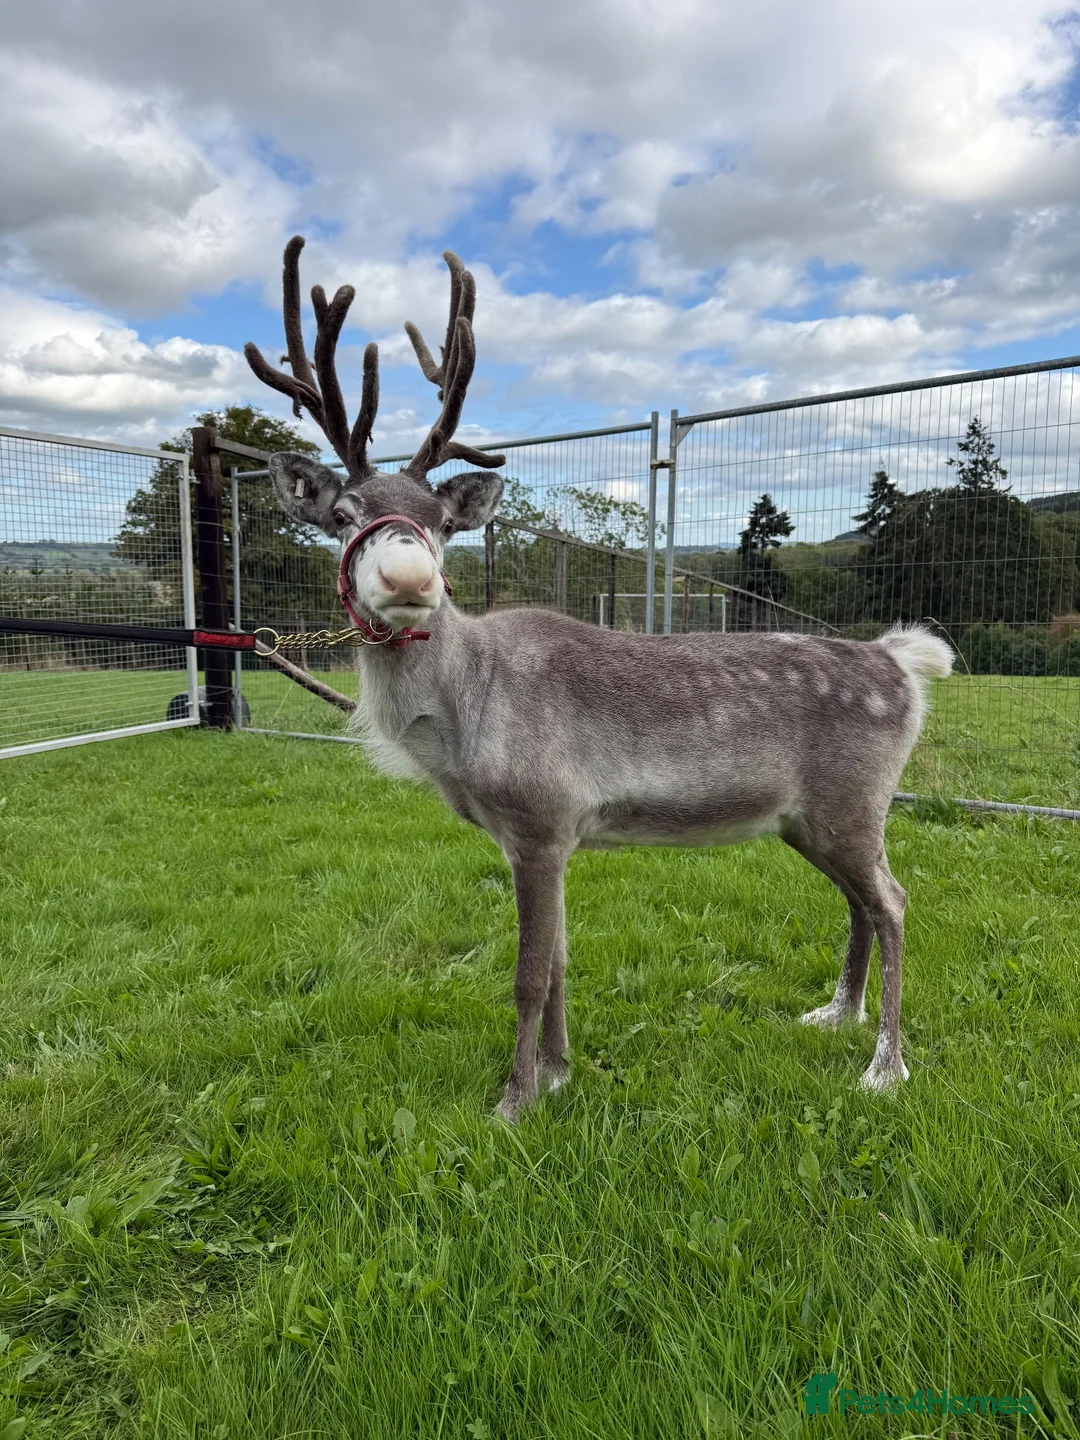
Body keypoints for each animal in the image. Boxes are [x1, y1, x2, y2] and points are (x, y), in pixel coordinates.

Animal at [245, 236, 954, 1122]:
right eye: (343, 516)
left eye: (442, 523)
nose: (410, 579)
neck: (456, 729)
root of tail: (902, 662)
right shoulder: (545, 833)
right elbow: (558, 964)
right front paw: (558, 1071)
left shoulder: (542, 817)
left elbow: (526, 975)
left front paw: (514, 1099)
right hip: (811, 819)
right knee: (862, 900)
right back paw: (837, 1013)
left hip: (854, 799)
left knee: (893, 899)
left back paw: (886, 1065)